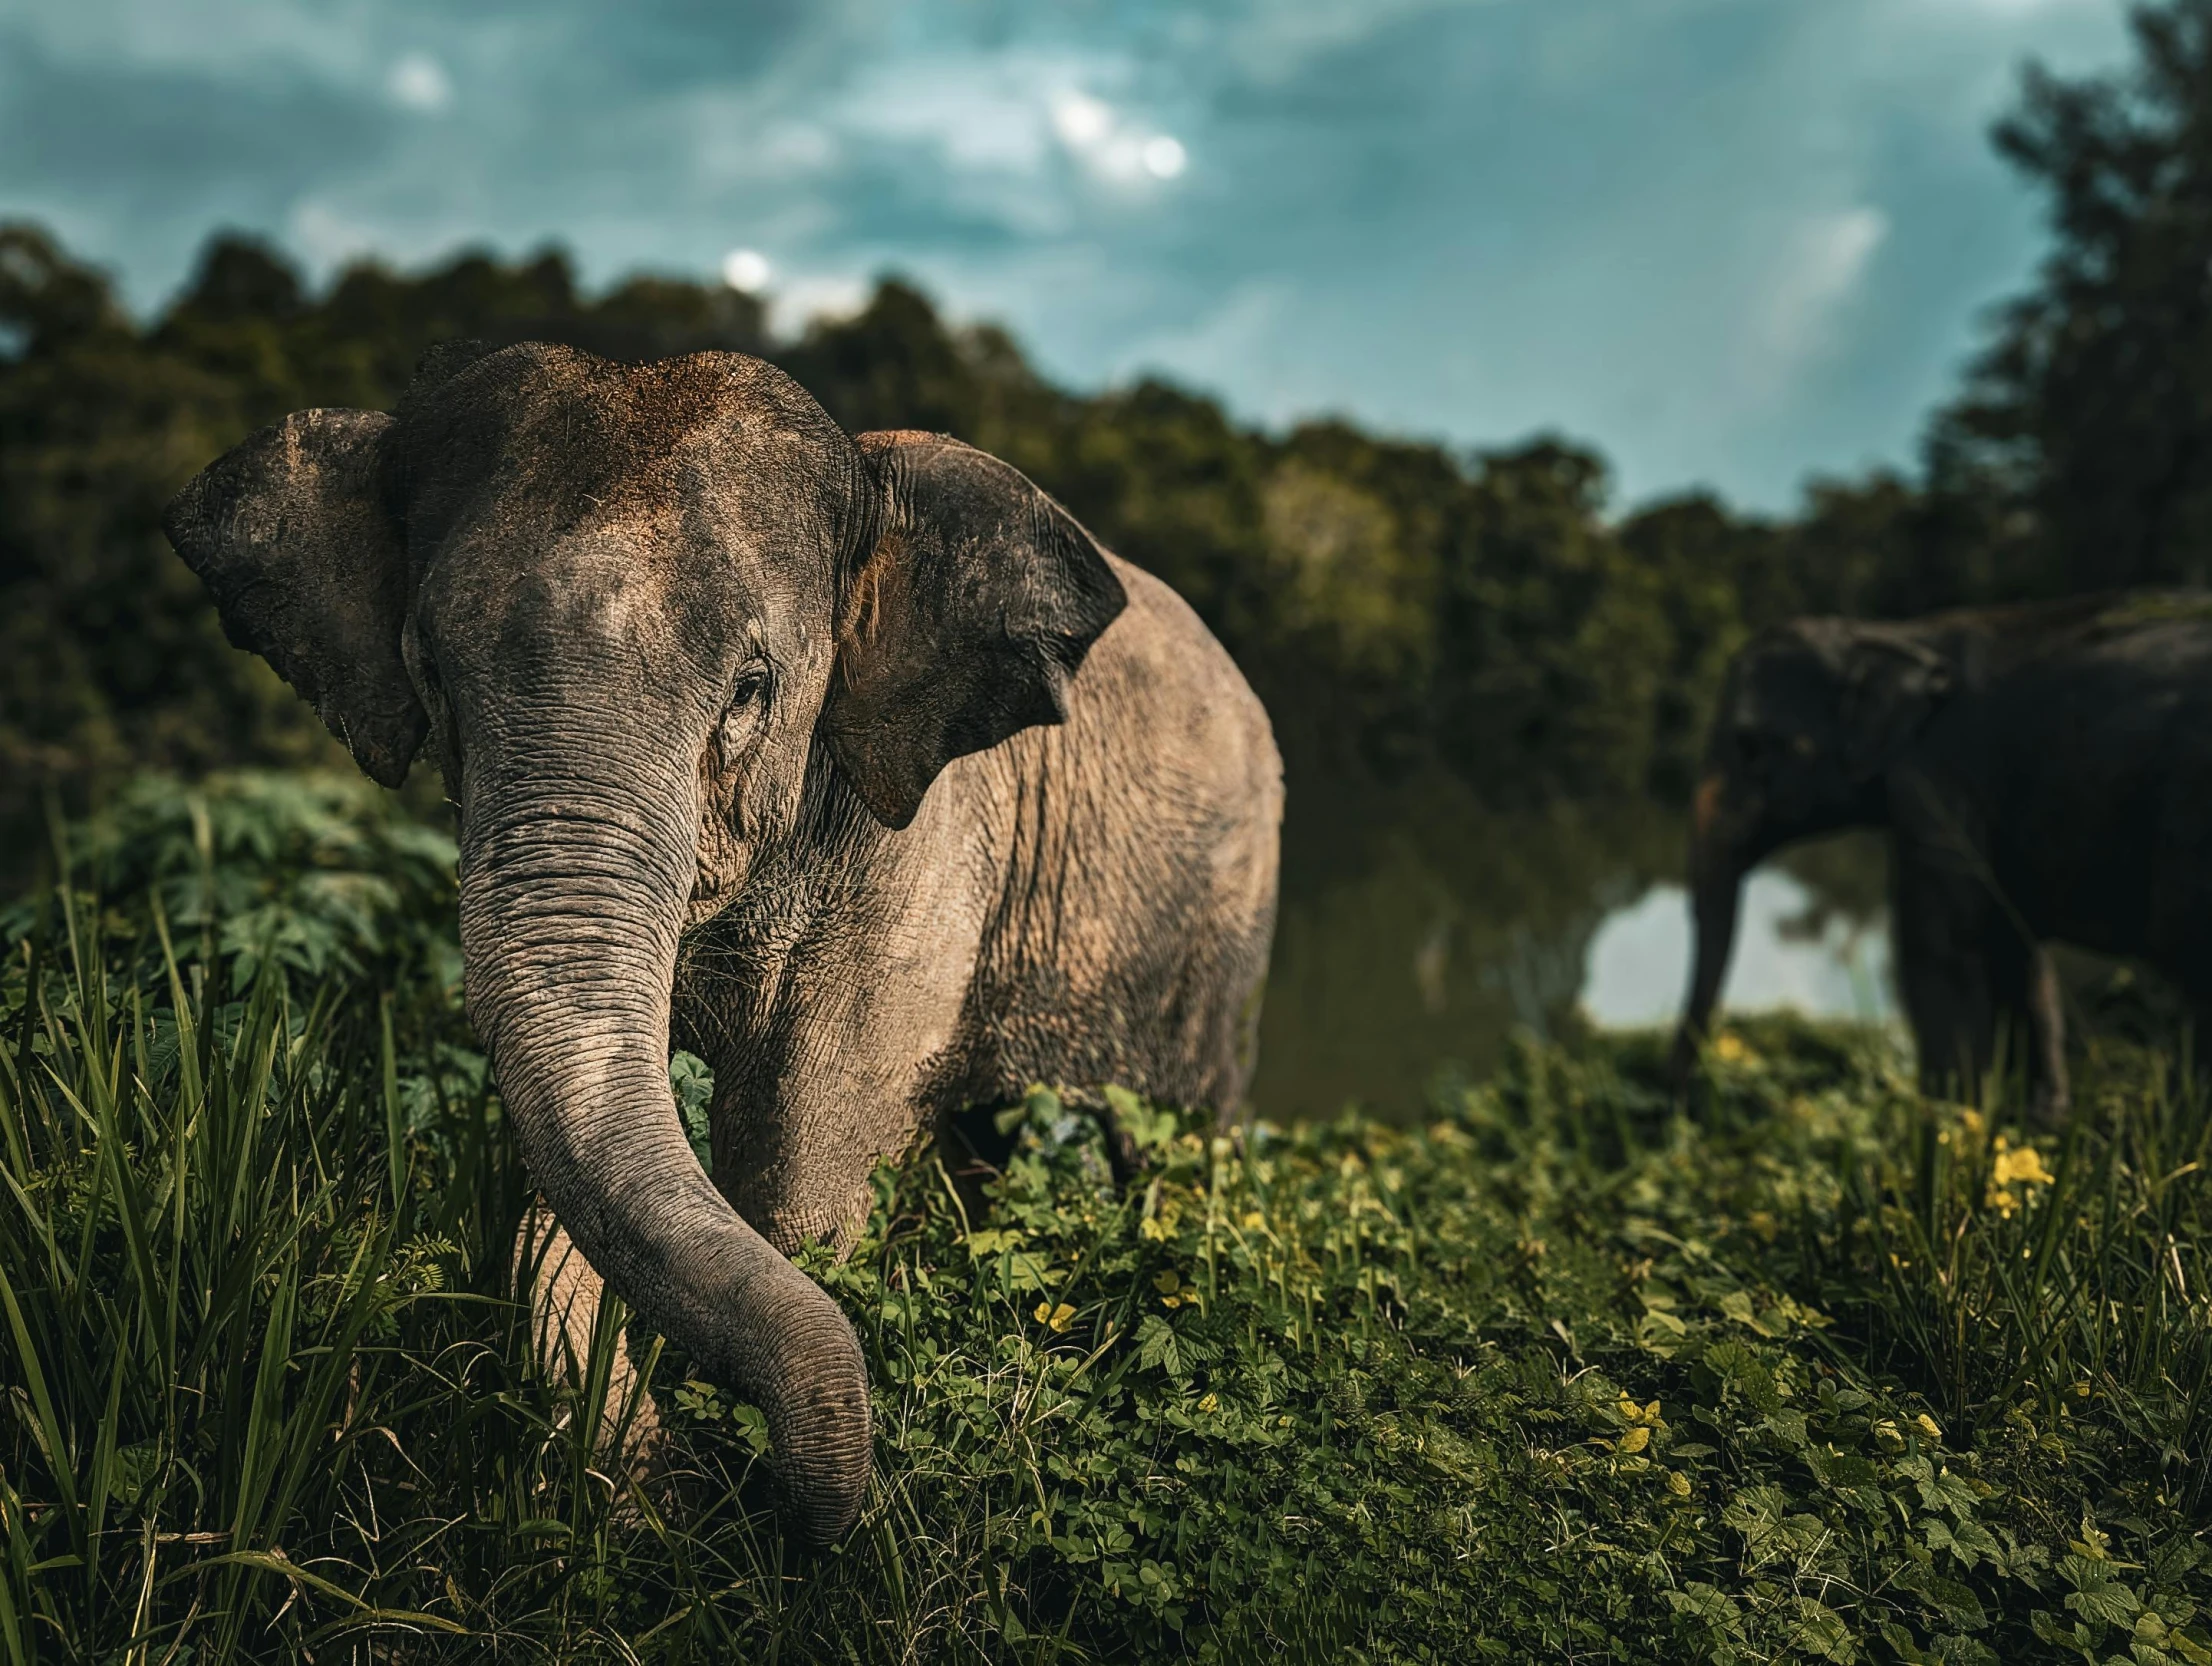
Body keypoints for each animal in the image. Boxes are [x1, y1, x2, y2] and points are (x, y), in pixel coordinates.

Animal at [163, 340, 1291, 1548]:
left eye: (751, 691)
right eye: (430, 676)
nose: (706, 1496)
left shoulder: (925, 852)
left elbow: (799, 1188)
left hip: (1227, 922)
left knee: (1169, 1137)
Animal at [1663, 592, 2212, 1123]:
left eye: (1750, 746)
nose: (1682, 1113)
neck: (1894, 635)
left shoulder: (1937, 784)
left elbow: (1942, 949)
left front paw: (1948, 1125)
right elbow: (2011, 948)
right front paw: (2032, 1125)